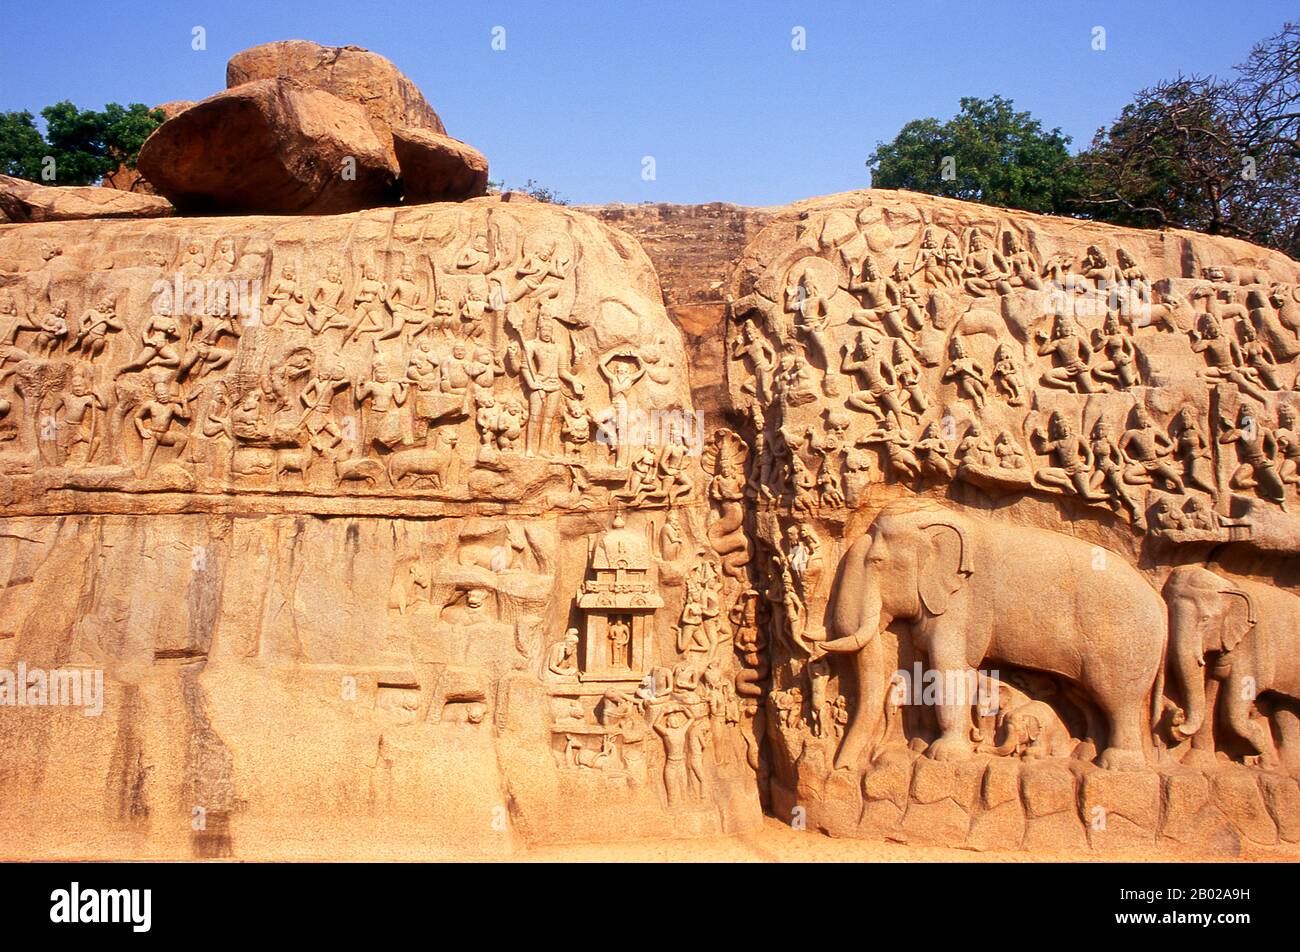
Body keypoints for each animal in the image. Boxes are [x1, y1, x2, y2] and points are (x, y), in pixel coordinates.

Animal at [811, 502, 1170, 769]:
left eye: (877, 561)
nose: (844, 768)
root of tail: (1160, 602)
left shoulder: (961, 603)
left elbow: (947, 665)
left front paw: (943, 755)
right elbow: (948, 665)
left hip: (1124, 645)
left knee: (1118, 701)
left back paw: (1117, 764)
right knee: (1087, 698)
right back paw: (1085, 754)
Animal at [1164, 564, 1300, 764]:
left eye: (1205, 619)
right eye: (1168, 612)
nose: (1176, 713)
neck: (1228, 585)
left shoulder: (1252, 645)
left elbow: (1235, 702)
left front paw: (1255, 741)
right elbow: (1212, 690)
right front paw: (1197, 761)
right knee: (1286, 708)